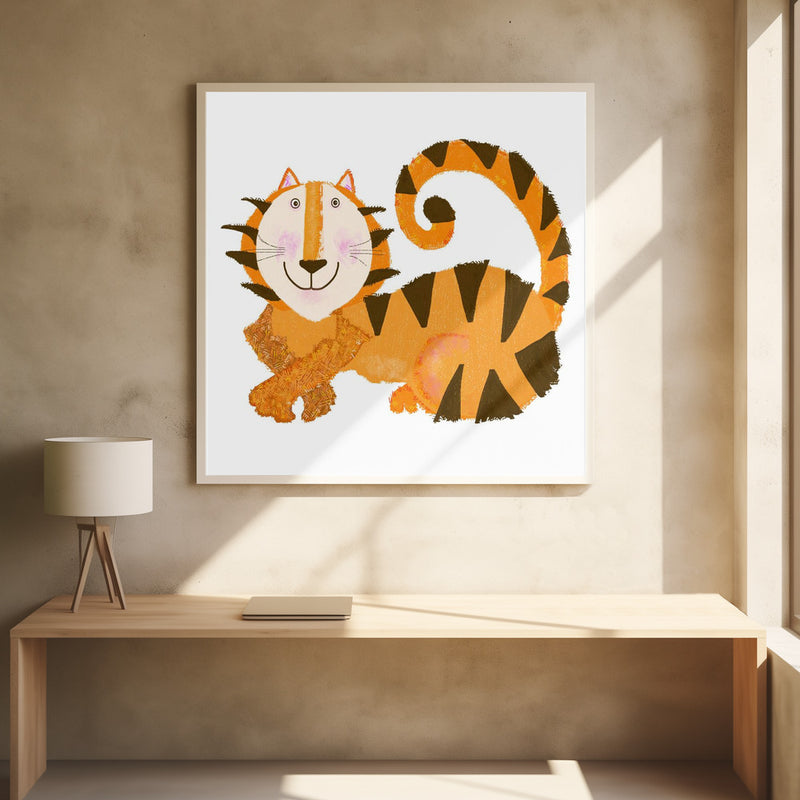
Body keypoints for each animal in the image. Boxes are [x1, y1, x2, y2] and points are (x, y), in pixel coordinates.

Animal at [222, 139, 570, 423]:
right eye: (294, 204)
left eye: (336, 205)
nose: (312, 262)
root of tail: (540, 303)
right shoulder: (267, 334)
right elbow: (279, 358)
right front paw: (308, 401)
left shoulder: (342, 342)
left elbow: (299, 371)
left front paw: (273, 400)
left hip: (446, 356)